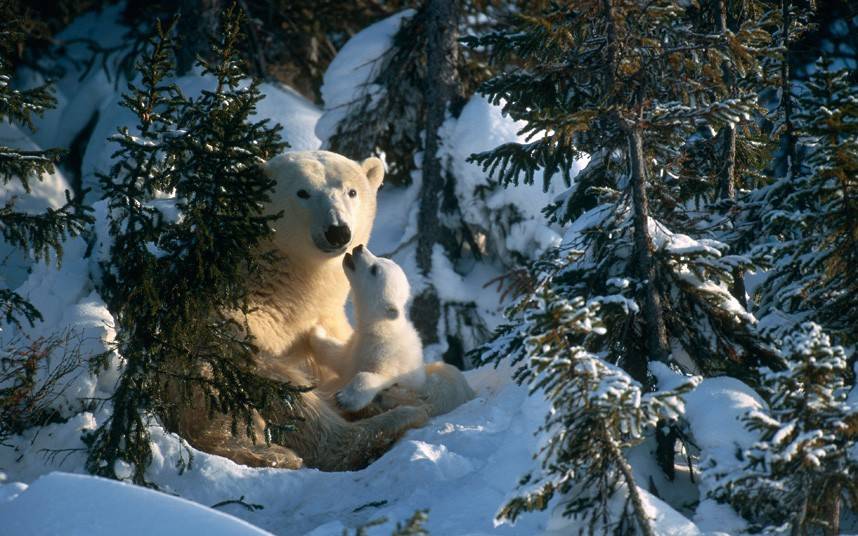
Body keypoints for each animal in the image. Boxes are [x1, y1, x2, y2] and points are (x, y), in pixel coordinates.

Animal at [310, 245, 426, 412]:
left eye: (374, 269)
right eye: (382, 258)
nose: (359, 247)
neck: (381, 329)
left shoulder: (390, 357)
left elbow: (374, 376)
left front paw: (344, 398)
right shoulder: (356, 348)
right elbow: (337, 356)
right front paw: (315, 331)